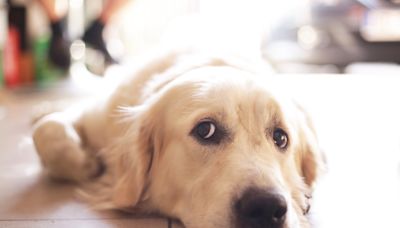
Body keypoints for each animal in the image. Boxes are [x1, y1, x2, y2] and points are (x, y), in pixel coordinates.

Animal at [32, 50, 324, 228]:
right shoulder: (98, 115)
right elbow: (48, 131)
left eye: (280, 137)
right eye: (205, 130)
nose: (266, 207)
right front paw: (90, 164)